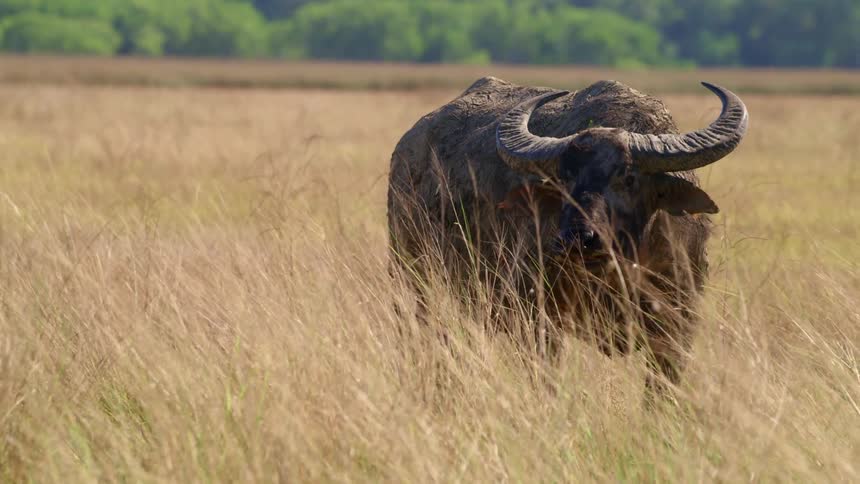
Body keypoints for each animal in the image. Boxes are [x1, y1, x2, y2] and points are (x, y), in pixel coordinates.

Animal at [387, 77, 748, 396]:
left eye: (629, 177)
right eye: (563, 180)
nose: (579, 238)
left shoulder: (678, 328)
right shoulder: (538, 321)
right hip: (413, 284)